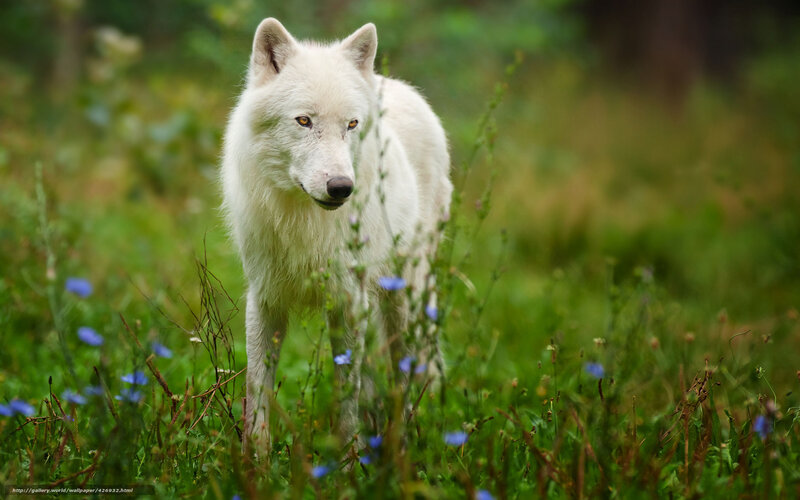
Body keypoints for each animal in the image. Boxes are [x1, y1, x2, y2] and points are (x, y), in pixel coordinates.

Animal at [221, 18, 452, 452]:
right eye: (304, 121)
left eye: (351, 124)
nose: (341, 187)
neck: (304, 222)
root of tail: (393, 83)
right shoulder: (265, 298)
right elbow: (257, 388)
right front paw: (253, 460)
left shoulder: (348, 300)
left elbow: (347, 392)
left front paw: (348, 458)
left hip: (405, 299)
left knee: (406, 371)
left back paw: (406, 438)